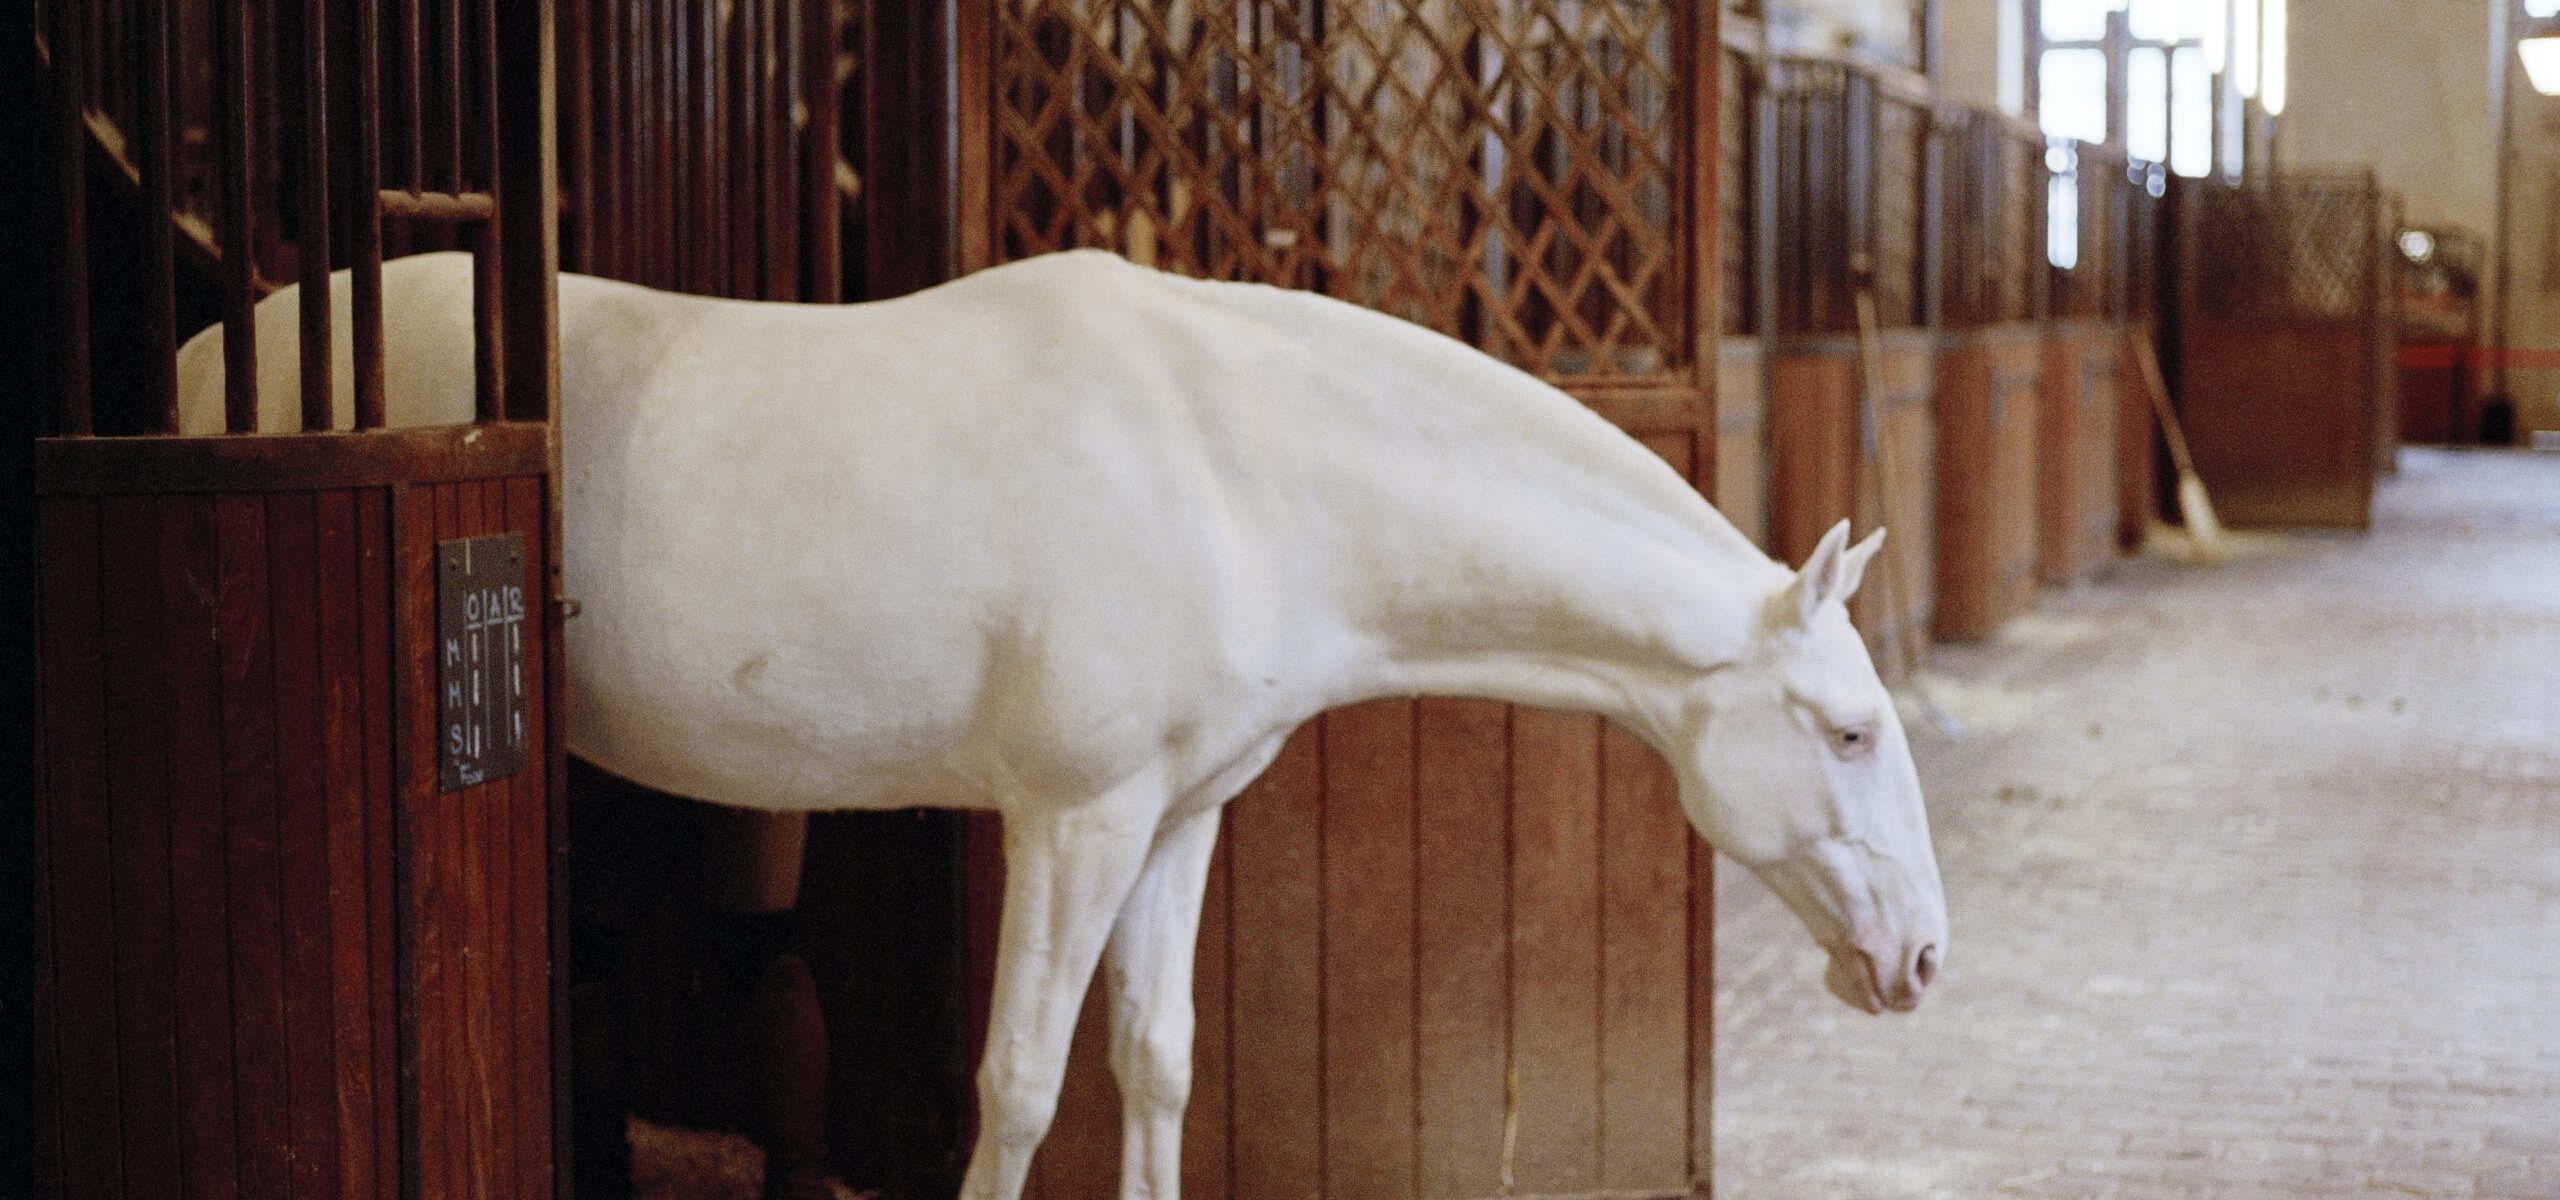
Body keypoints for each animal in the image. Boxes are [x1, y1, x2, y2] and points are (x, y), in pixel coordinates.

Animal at [175, 248, 1935, 1192]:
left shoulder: (1175, 820)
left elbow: (1155, 1061)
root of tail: (210, 357)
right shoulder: (1070, 823)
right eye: (1850, 733)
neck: (1236, 467)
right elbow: (1019, 1086)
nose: (1919, 963)